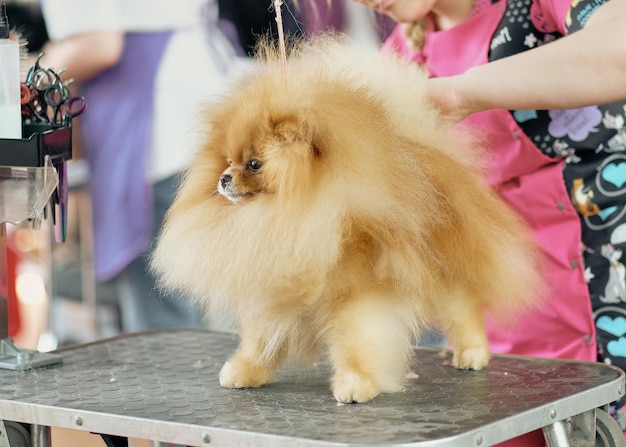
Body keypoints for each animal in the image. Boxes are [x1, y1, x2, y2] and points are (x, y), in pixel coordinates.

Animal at [150, 35, 540, 404]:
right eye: (228, 161)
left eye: (254, 164)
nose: (223, 179)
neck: (290, 214)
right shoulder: (273, 294)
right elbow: (261, 340)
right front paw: (246, 371)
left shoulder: (356, 294)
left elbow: (357, 341)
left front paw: (356, 384)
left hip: (444, 272)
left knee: (463, 309)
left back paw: (472, 352)